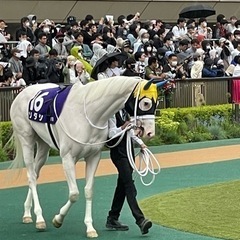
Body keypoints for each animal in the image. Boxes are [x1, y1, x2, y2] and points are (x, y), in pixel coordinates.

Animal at [9, 76, 163, 238]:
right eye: (146, 103)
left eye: (157, 103)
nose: (150, 133)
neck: (87, 113)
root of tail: (22, 92)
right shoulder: (68, 158)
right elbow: (74, 194)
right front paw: (58, 219)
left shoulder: (93, 157)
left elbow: (88, 191)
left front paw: (90, 227)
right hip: (26, 138)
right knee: (31, 176)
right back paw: (39, 218)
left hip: (43, 144)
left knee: (36, 173)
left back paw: (27, 213)